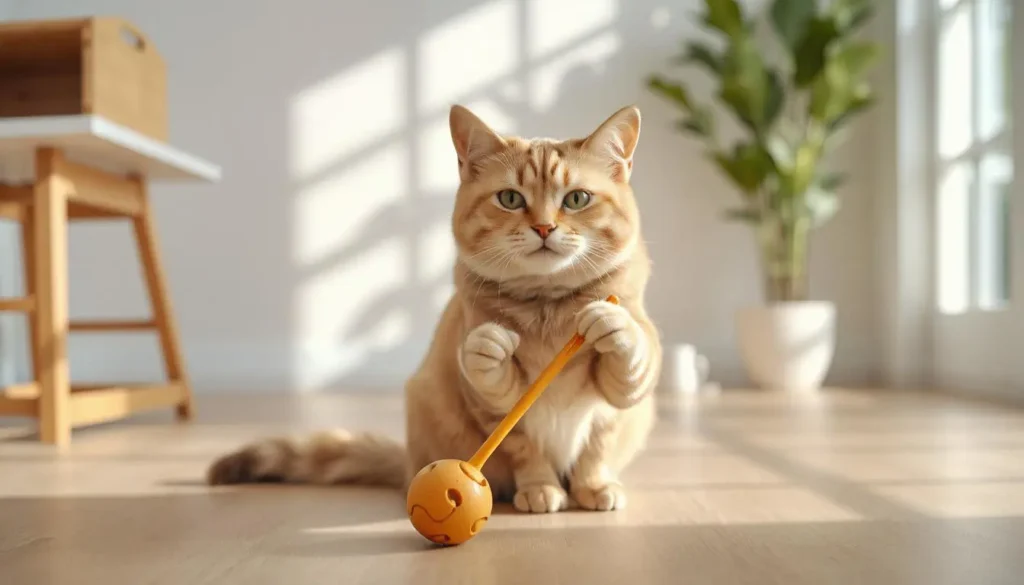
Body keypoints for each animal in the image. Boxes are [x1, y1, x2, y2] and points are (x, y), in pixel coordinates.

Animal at [205, 103, 663, 512]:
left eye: (577, 199)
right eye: (510, 198)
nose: (544, 227)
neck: (546, 303)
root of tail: (409, 461)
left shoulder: (617, 402)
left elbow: (606, 426)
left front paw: (594, 485)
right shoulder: (492, 404)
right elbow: (520, 440)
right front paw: (539, 486)